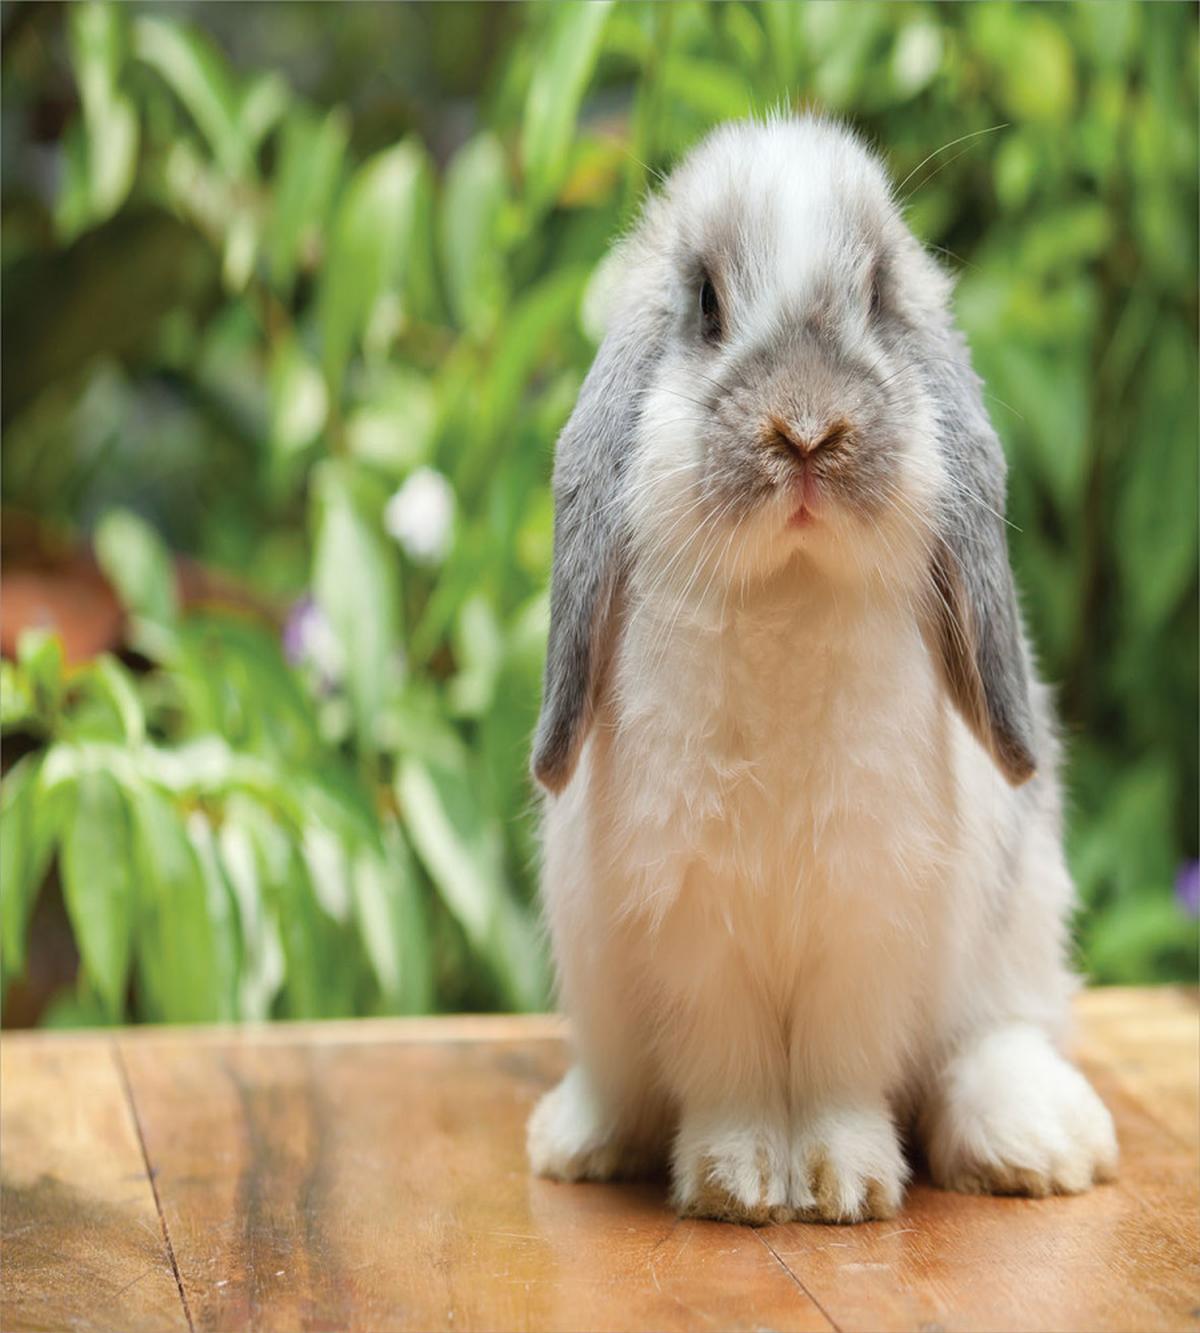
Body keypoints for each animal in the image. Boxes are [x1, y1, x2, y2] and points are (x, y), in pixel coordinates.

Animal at [526, 114, 1117, 1225]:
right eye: (706, 304)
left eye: (880, 298)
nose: (806, 430)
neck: (787, 601)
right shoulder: (694, 930)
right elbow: (732, 1070)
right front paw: (742, 1183)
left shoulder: (870, 922)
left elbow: (844, 1069)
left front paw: (847, 1184)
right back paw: (579, 1139)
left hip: (1018, 930)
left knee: (997, 1037)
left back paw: (1040, 1142)